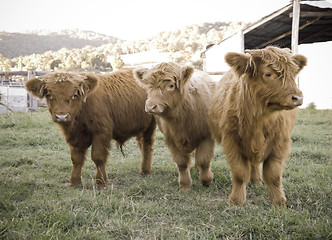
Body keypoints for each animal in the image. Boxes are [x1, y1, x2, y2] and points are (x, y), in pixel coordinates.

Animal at [25, 68, 156, 188]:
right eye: (49, 94)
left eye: (75, 95)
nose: (61, 116)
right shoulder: (75, 137)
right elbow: (76, 159)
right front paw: (75, 182)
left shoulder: (101, 132)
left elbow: (98, 157)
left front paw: (101, 183)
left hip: (150, 125)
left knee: (147, 146)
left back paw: (145, 171)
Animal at [134, 62, 215, 190]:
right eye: (148, 86)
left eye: (171, 85)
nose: (151, 106)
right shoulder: (171, 140)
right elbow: (182, 163)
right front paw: (185, 185)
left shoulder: (207, 137)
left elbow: (204, 160)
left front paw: (207, 180)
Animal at [209, 47, 308, 206]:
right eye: (268, 73)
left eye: (293, 73)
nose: (298, 97)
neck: (259, 120)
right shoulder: (231, 141)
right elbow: (239, 173)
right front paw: (236, 201)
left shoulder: (280, 143)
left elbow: (274, 175)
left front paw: (279, 202)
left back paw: (256, 181)